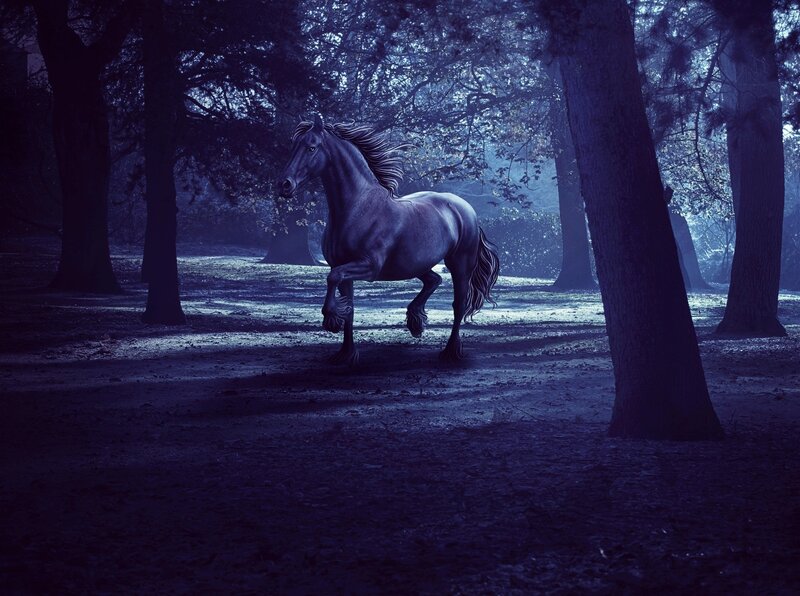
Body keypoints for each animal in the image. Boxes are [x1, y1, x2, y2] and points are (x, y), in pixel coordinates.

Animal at [278, 113, 499, 365]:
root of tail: (466, 209)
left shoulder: (369, 267)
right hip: (414, 263)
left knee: (458, 304)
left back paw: (450, 351)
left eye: (311, 147)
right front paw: (346, 354)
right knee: (433, 280)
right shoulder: (341, 266)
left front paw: (331, 320)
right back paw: (415, 322)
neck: (358, 207)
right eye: (293, 146)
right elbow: (348, 304)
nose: (284, 185)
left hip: (459, 264)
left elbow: (332, 278)